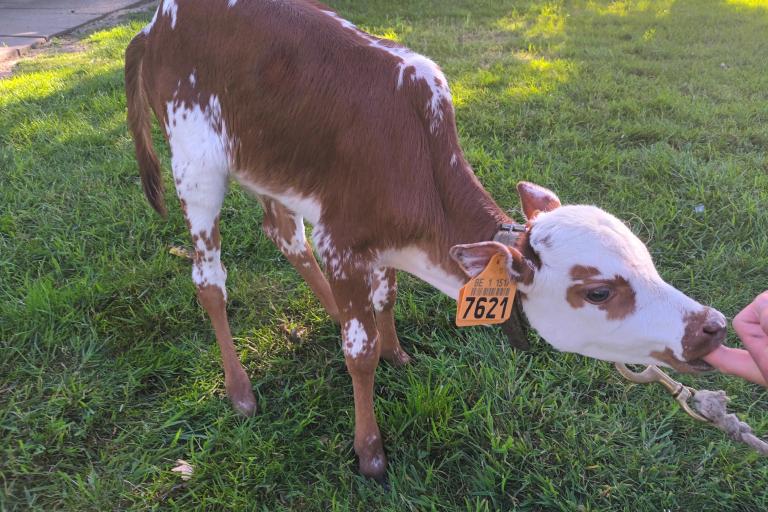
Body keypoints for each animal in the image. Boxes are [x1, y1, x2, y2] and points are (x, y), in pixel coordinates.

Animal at [126, 0, 728, 480]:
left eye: (648, 261)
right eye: (599, 291)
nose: (713, 326)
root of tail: (155, 25)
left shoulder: (375, 247)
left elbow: (384, 298)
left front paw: (396, 351)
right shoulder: (342, 241)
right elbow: (358, 353)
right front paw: (369, 451)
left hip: (269, 165)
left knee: (284, 236)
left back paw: (327, 310)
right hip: (196, 164)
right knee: (209, 281)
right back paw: (240, 389)